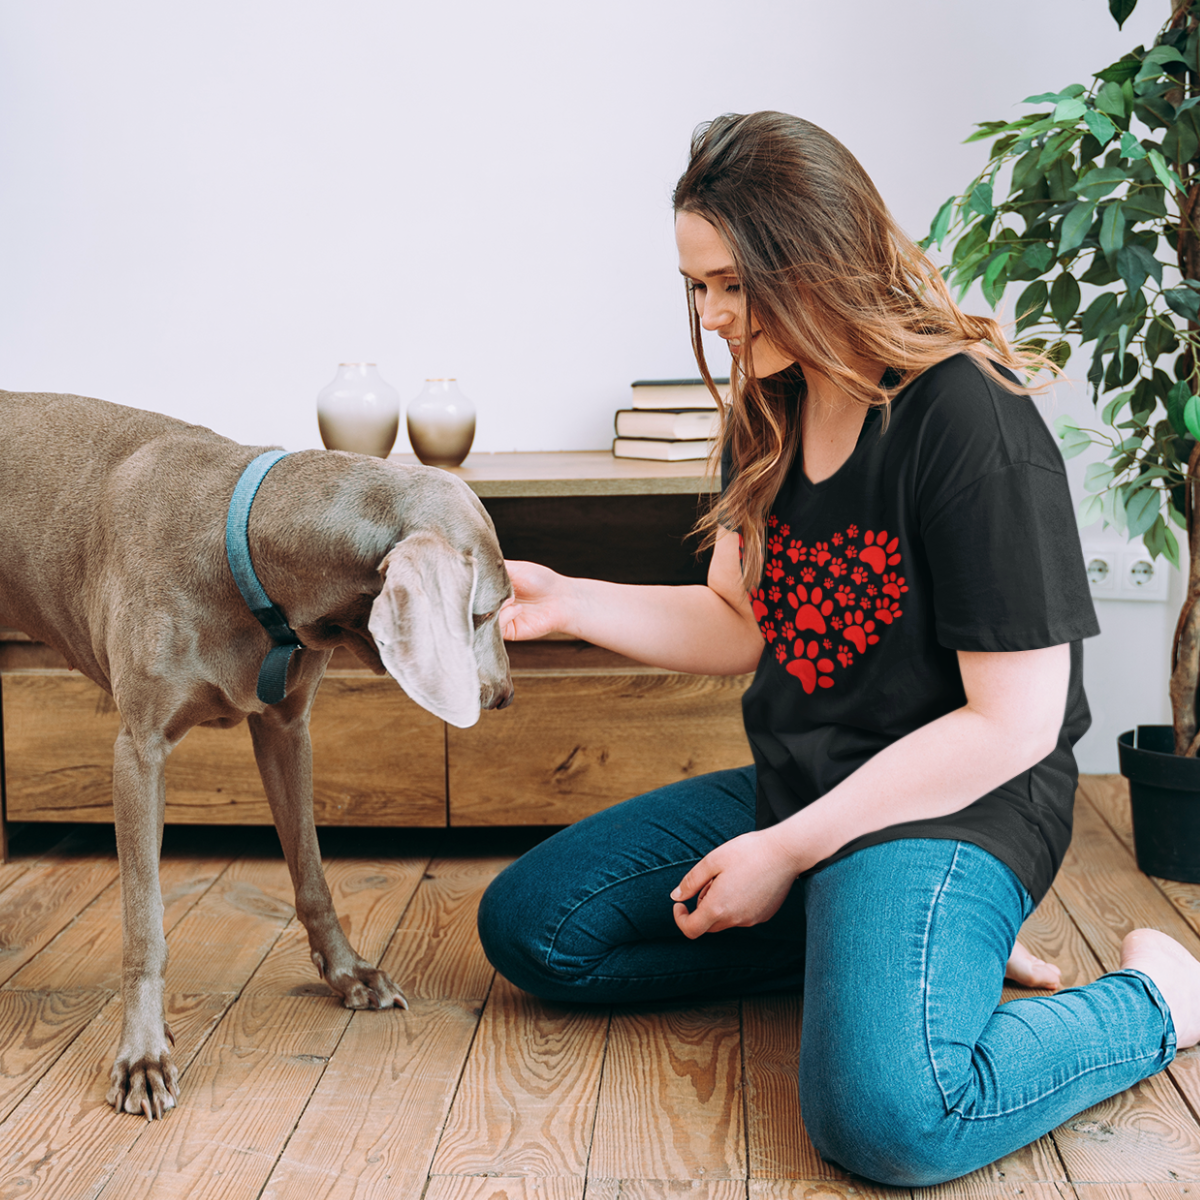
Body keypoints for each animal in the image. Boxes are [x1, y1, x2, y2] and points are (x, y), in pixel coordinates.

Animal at [0, 388, 511, 1118]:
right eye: (488, 610)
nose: (503, 695)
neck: (243, 547)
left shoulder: (286, 730)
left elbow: (313, 873)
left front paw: (349, 974)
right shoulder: (138, 752)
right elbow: (144, 924)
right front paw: (143, 1054)